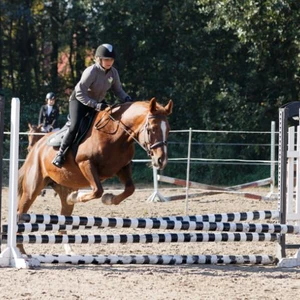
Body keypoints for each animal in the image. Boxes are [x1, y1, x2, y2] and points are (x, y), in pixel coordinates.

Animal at [18, 97, 173, 238]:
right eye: (151, 129)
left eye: (168, 130)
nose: (161, 160)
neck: (115, 134)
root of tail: (36, 147)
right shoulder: (86, 163)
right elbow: (98, 190)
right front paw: (76, 196)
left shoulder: (122, 167)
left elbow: (130, 189)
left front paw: (109, 199)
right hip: (32, 189)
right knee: (21, 212)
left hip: (63, 186)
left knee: (62, 220)